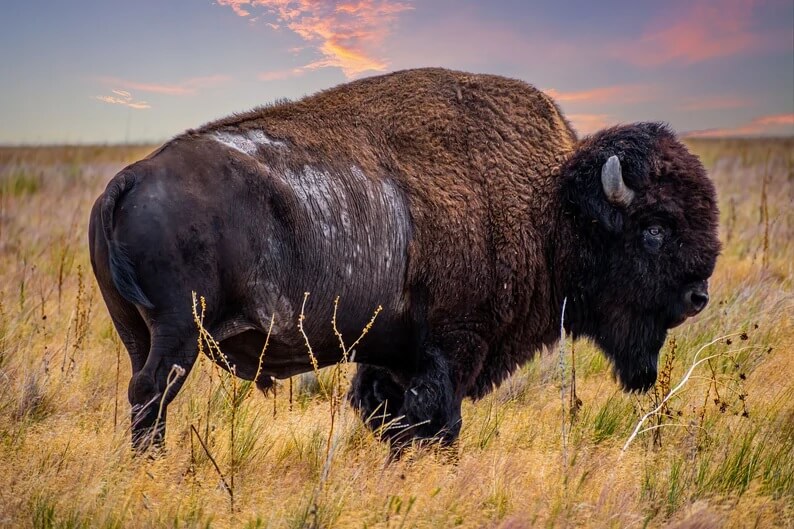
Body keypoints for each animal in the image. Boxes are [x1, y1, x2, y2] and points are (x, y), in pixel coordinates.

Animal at [88, 68, 720, 450]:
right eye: (654, 229)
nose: (698, 296)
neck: (551, 203)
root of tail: (127, 180)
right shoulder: (452, 349)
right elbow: (435, 423)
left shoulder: (390, 357)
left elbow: (386, 415)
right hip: (179, 335)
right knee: (151, 395)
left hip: (137, 331)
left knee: (143, 395)